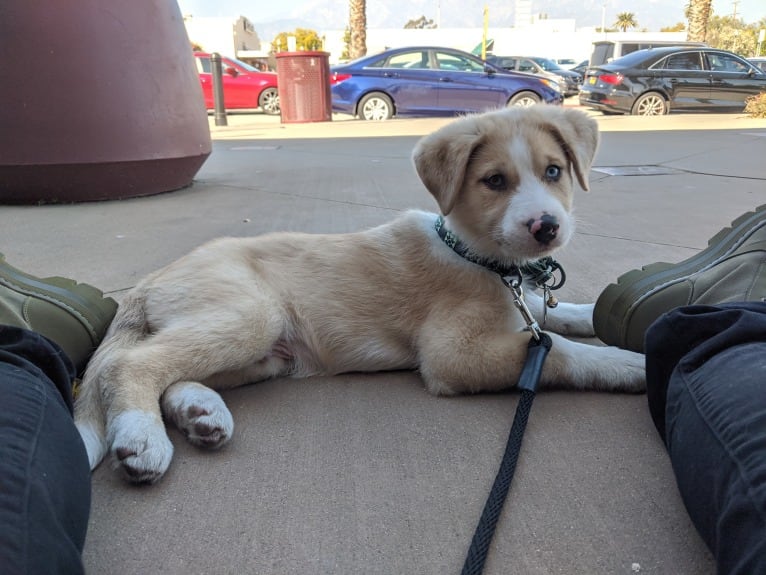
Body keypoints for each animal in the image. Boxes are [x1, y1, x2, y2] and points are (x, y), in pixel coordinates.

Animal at [73, 106, 648, 484]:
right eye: (494, 181)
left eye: (554, 171)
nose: (546, 227)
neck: (478, 256)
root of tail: (151, 278)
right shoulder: (452, 356)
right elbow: (558, 352)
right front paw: (630, 363)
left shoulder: (517, 308)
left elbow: (557, 318)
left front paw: (590, 315)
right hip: (251, 314)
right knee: (128, 365)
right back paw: (142, 436)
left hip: (264, 354)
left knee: (172, 372)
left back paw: (200, 413)